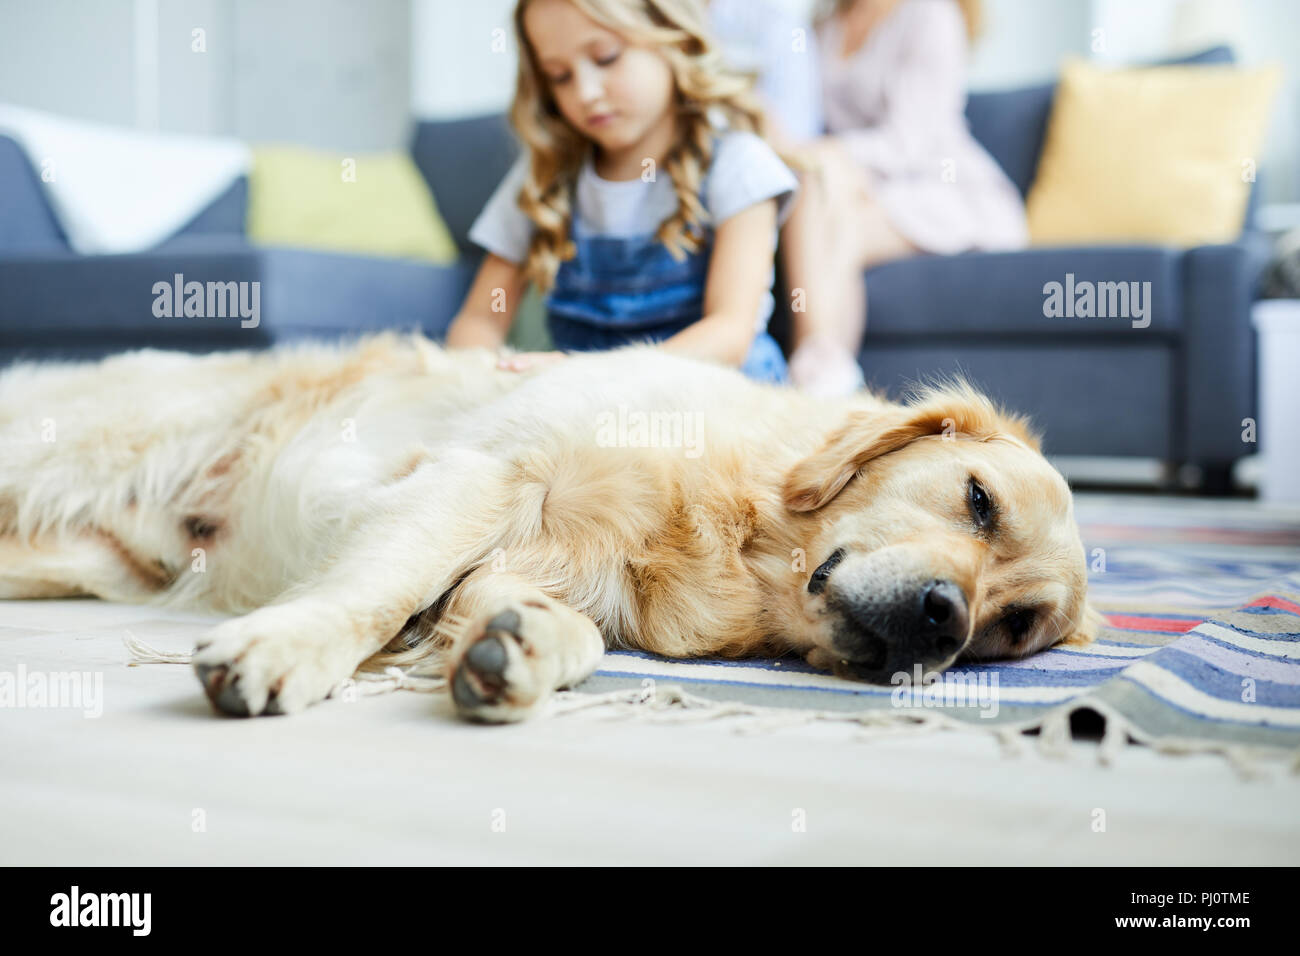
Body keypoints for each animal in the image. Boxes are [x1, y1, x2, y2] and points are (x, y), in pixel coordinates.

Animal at [0, 332, 1097, 723]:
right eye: (978, 500)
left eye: (1013, 632)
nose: (943, 620)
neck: (724, 519)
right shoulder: (480, 475)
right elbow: (377, 593)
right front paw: (286, 646)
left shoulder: (543, 566)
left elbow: (560, 626)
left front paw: (514, 651)